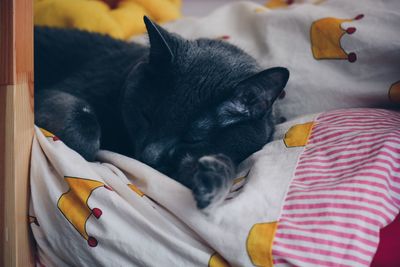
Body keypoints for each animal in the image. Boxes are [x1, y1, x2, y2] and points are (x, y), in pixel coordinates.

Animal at [34, 16, 290, 210]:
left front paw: (213, 180)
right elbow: (84, 134)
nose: (149, 157)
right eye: (146, 116)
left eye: (193, 138)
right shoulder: (60, 92)